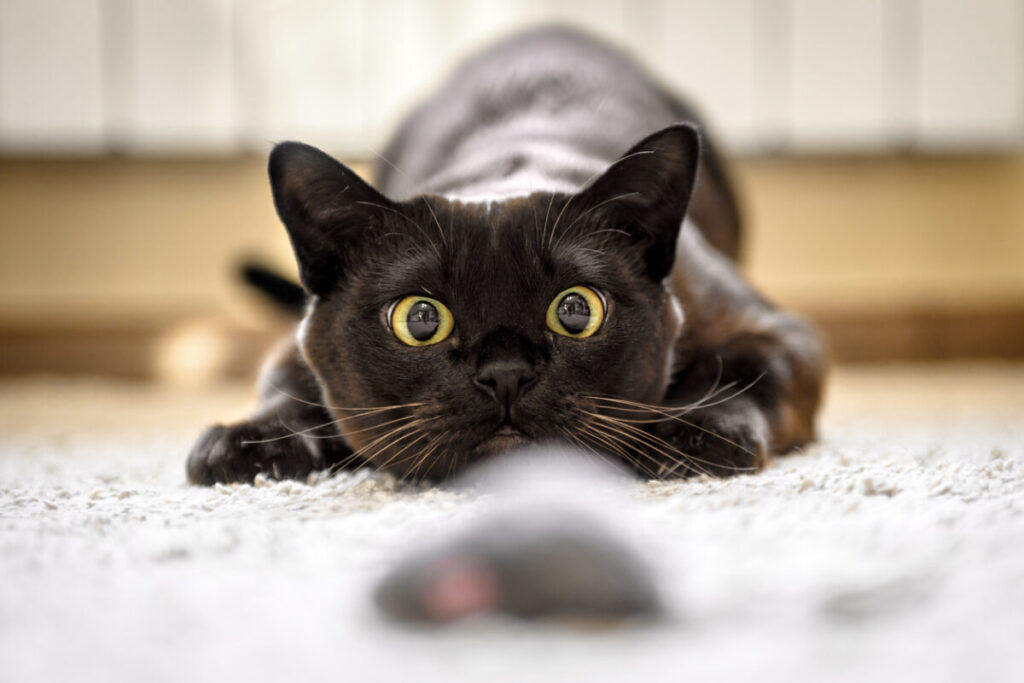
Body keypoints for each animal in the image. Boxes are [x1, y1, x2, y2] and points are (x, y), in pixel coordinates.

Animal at [186, 28, 823, 485]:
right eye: (420, 319)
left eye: (576, 311)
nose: (505, 374)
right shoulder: (292, 346)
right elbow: (283, 388)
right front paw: (244, 445)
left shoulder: (775, 330)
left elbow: (739, 375)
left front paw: (689, 434)